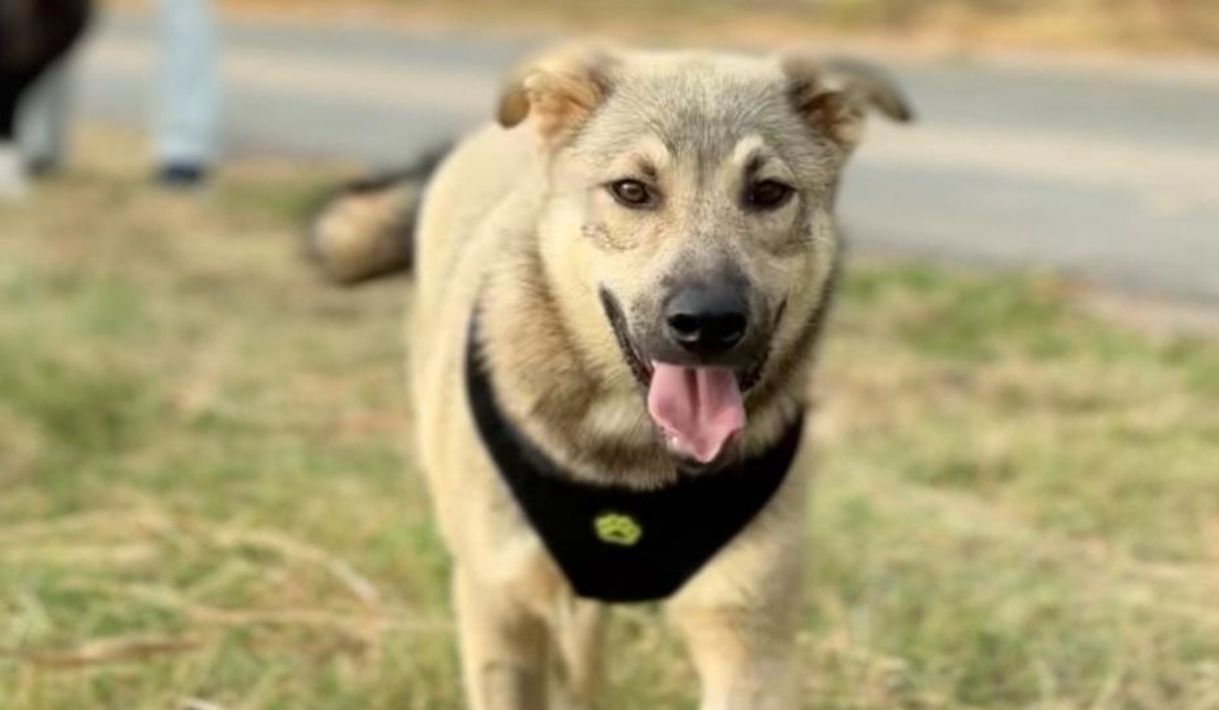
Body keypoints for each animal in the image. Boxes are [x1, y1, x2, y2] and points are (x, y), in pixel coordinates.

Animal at [309, 45, 912, 708]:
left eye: (769, 192)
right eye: (632, 190)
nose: (707, 324)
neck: (631, 459)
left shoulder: (748, 627)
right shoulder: (500, 606)